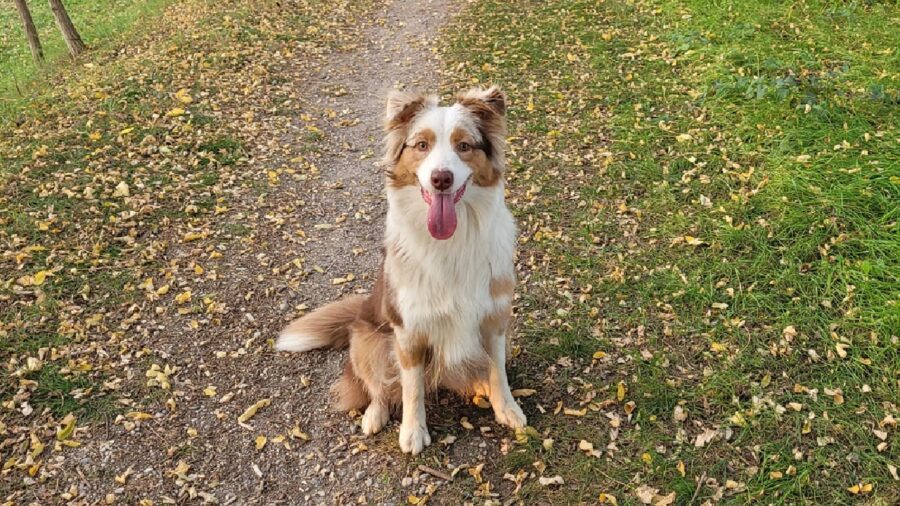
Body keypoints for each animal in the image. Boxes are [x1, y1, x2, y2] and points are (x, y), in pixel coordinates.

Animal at [276, 86, 528, 454]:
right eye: (421, 145)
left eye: (464, 145)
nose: (441, 179)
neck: (452, 242)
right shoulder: (408, 330)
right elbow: (412, 388)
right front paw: (412, 432)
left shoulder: (495, 317)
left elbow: (498, 369)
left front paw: (506, 407)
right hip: (369, 342)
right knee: (378, 386)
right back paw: (374, 414)